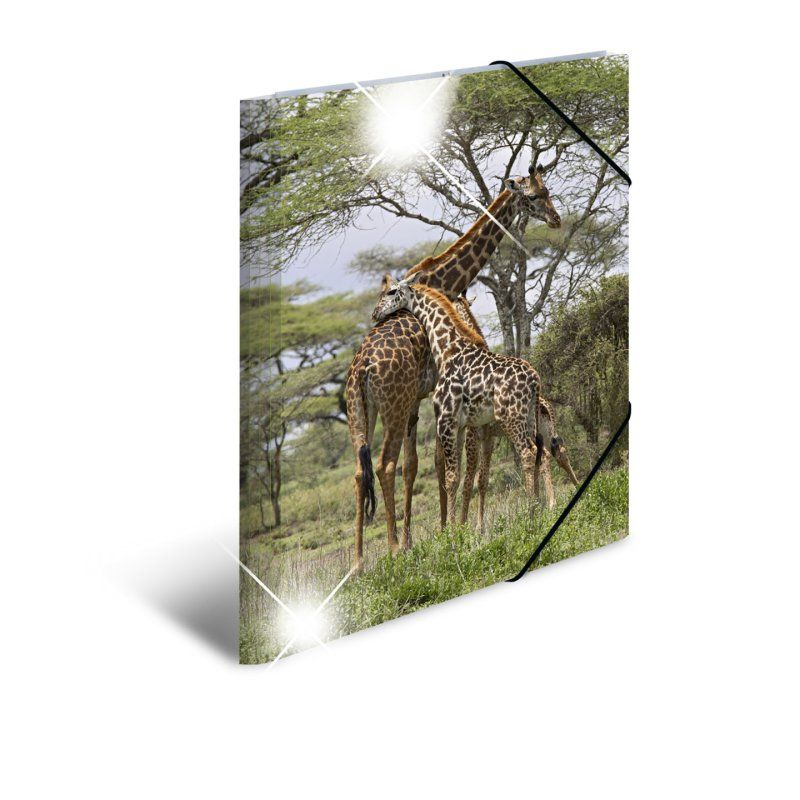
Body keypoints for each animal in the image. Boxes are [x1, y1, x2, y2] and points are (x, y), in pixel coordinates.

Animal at [371, 281, 545, 529]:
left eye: (391, 291)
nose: (375, 313)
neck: (447, 349)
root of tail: (535, 379)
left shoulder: (446, 421)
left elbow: (452, 478)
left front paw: (453, 531)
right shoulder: (462, 426)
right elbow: (462, 476)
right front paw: (461, 528)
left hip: (511, 416)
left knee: (527, 453)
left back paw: (532, 514)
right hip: (529, 416)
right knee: (539, 451)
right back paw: (541, 507)